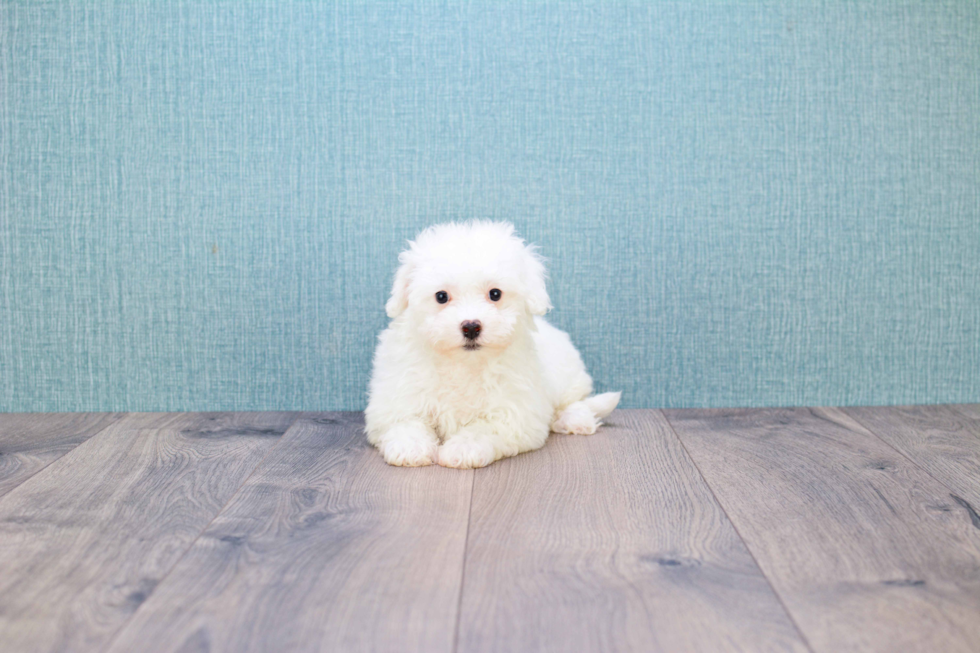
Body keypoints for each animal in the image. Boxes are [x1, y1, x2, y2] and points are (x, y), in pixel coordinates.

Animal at [368, 222, 620, 466]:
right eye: (441, 296)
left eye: (495, 294)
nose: (471, 327)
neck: (464, 364)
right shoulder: (397, 397)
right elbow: (405, 422)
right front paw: (409, 447)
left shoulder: (516, 412)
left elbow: (485, 428)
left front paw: (463, 449)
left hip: (567, 376)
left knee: (576, 401)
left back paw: (575, 420)